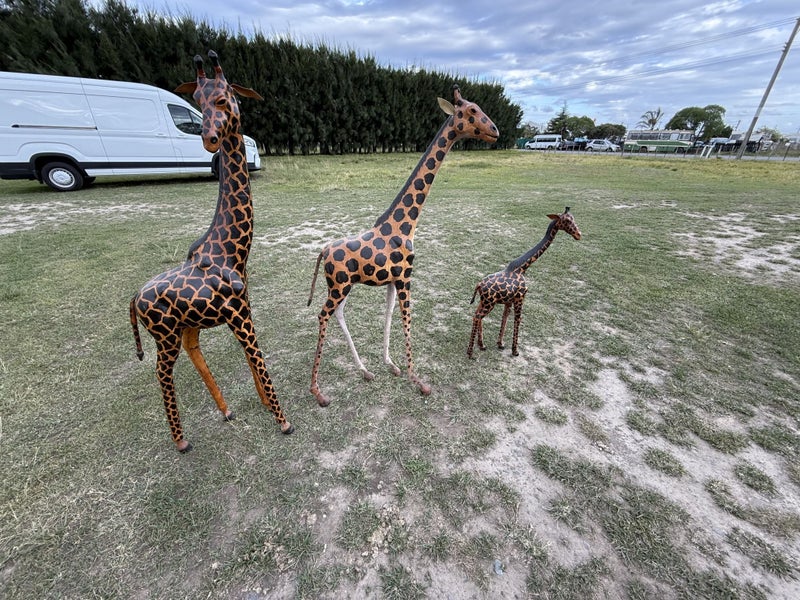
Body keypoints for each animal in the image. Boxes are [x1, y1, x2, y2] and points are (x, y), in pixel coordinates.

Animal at [129, 50, 293, 452]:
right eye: (197, 103)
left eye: (221, 99)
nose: (209, 139)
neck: (232, 249)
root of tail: (133, 299)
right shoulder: (239, 315)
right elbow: (258, 358)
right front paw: (283, 420)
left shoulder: (243, 312)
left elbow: (252, 359)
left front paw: (266, 405)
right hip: (164, 335)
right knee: (162, 373)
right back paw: (181, 441)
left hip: (185, 327)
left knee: (192, 350)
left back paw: (226, 410)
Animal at [307, 85, 499, 407]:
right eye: (472, 111)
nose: (495, 131)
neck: (405, 226)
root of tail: (323, 251)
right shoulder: (406, 277)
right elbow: (406, 320)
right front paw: (418, 380)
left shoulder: (392, 280)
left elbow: (388, 315)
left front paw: (391, 365)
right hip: (339, 286)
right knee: (323, 315)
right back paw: (318, 392)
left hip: (341, 286)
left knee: (339, 315)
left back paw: (365, 371)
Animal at [467, 207, 581, 359]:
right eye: (567, 221)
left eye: (573, 218)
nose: (578, 234)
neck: (522, 267)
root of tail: (478, 285)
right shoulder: (520, 298)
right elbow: (518, 319)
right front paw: (515, 351)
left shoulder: (509, 300)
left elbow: (505, 317)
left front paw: (500, 344)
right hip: (489, 303)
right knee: (477, 317)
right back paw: (470, 353)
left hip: (484, 301)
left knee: (477, 315)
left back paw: (482, 345)